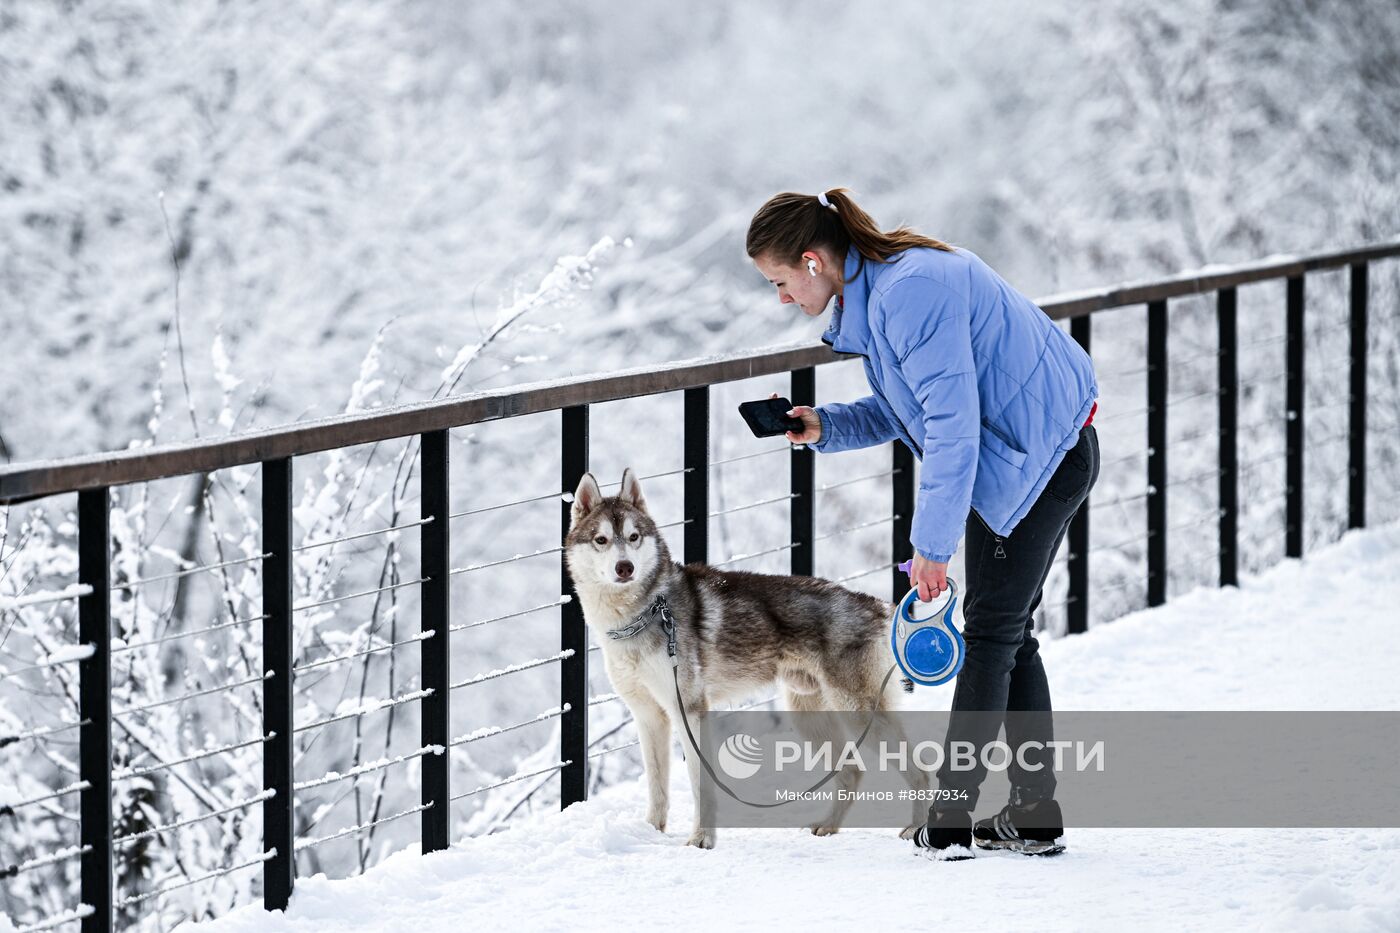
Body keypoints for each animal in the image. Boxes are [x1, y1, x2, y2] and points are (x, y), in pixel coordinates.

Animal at [562, 467, 924, 846]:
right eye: (601, 540)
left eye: (633, 537)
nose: (625, 567)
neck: (643, 614)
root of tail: (876, 605)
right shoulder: (649, 716)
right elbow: (657, 787)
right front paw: (650, 832)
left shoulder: (690, 711)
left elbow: (700, 785)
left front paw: (702, 839)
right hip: (809, 715)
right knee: (853, 771)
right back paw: (828, 825)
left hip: (856, 712)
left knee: (921, 768)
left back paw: (916, 827)